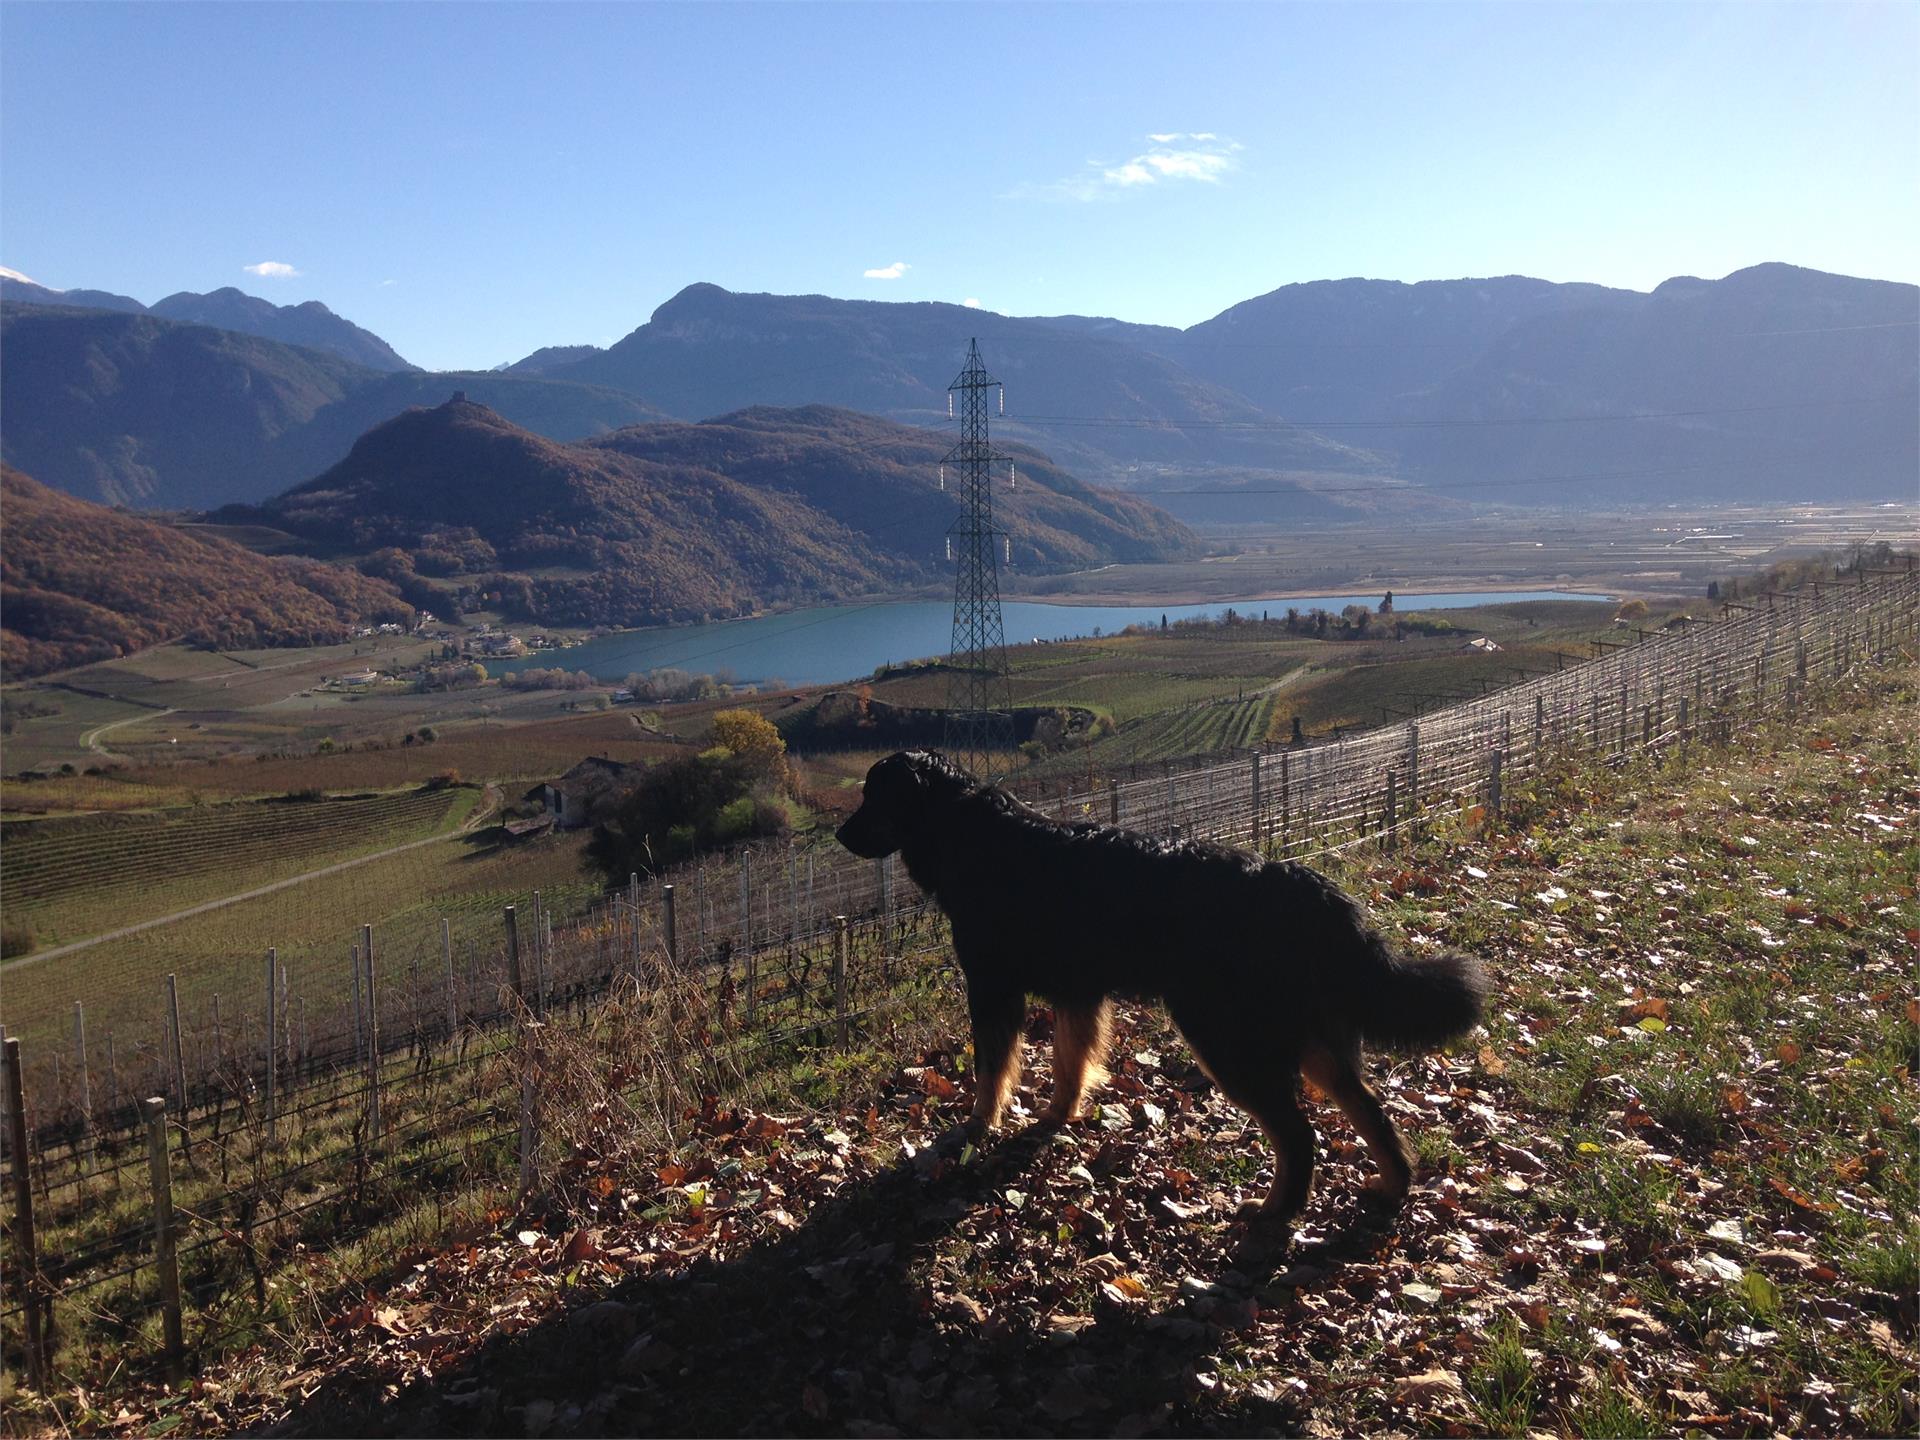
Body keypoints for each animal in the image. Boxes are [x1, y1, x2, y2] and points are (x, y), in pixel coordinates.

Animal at [837, 748, 1482, 1221]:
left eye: (872, 795)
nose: (841, 835)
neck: (967, 831)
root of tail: (1310, 887)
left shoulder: (994, 988)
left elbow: (992, 1071)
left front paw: (977, 1126)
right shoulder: (1077, 992)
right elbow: (1070, 1065)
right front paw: (1056, 1118)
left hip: (1226, 1037)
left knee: (1300, 1138)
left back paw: (1272, 1212)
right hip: (1308, 1039)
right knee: (1369, 1108)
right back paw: (1391, 1187)